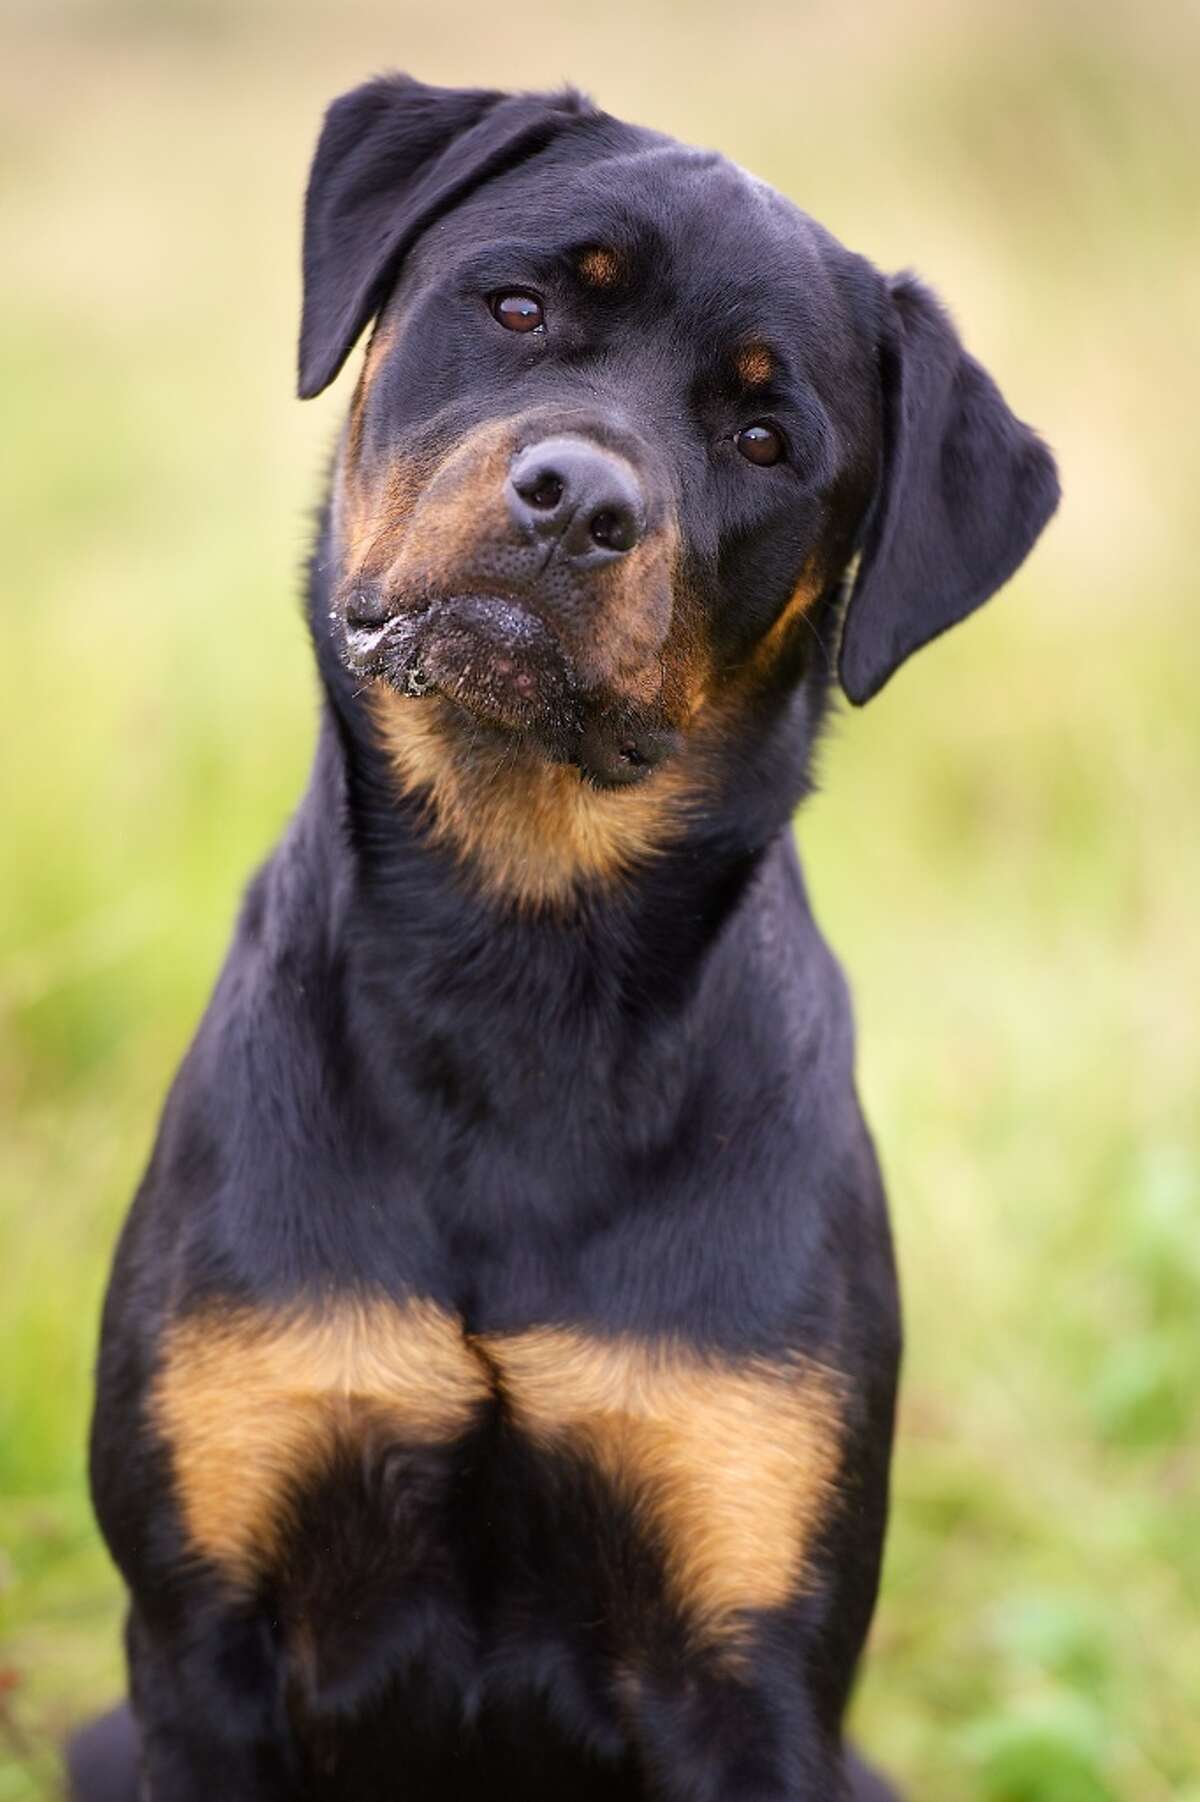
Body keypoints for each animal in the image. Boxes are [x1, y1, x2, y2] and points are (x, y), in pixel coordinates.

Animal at [70, 73, 1052, 1802]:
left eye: (764, 436)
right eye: (517, 305)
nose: (583, 497)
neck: (512, 955)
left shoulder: (751, 1666)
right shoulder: (200, 1631)